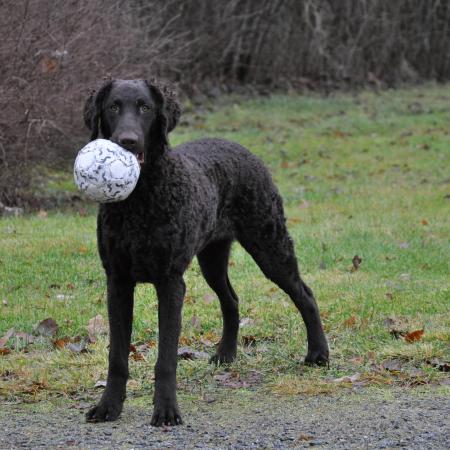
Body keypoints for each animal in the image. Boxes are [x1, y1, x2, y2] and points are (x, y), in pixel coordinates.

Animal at [82, 79, 328, 428]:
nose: (127, 141)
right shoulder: (117, 282)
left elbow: (166, 358)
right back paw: (226, 355)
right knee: (231, 300)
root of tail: (239, 147)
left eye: (145, 107)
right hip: (212, 257)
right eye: (113, 107)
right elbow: (117, 355)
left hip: (269, 243)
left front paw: (166, 410)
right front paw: (108, 407)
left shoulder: (171, 282)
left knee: (304, 294)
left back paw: (318, 354)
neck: (139, 203)